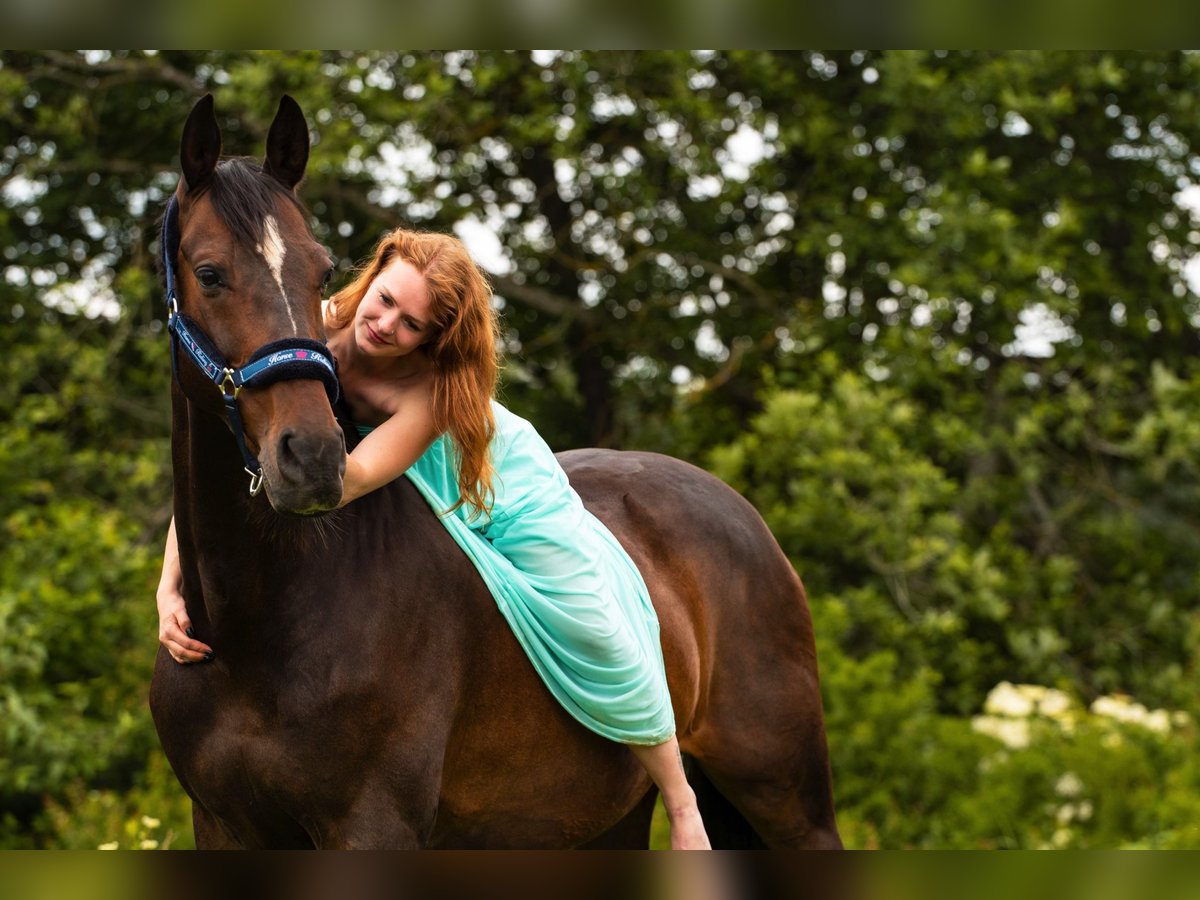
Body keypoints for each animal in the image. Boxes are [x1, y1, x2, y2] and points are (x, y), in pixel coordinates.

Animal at [147, 95, 844, 849]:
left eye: (322, 270)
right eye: (209, 272)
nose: (312, 458)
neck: (253, 629)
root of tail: (746, 520)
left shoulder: (374, 823)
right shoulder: (223, 825)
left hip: (788, 800)